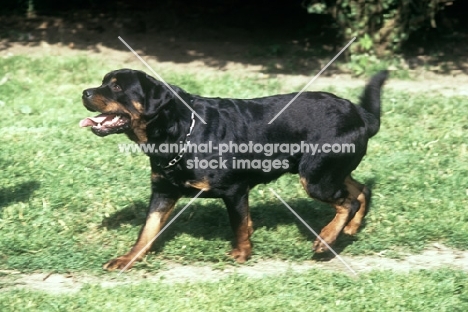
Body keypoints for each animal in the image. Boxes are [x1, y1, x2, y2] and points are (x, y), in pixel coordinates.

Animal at [80, 69, 388, 270]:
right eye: (104, 83)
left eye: (117, 87)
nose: (85, 91)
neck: (179, 132)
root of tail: (361, 115)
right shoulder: (163, 192)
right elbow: (147, 230)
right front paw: (128, 259)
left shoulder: (234, 189)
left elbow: (238, 224)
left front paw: (241, 253)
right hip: (329, 171)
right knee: (361, 190)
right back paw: (350, 229)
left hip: (315, 177)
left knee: (346, 202)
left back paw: (326, 239)